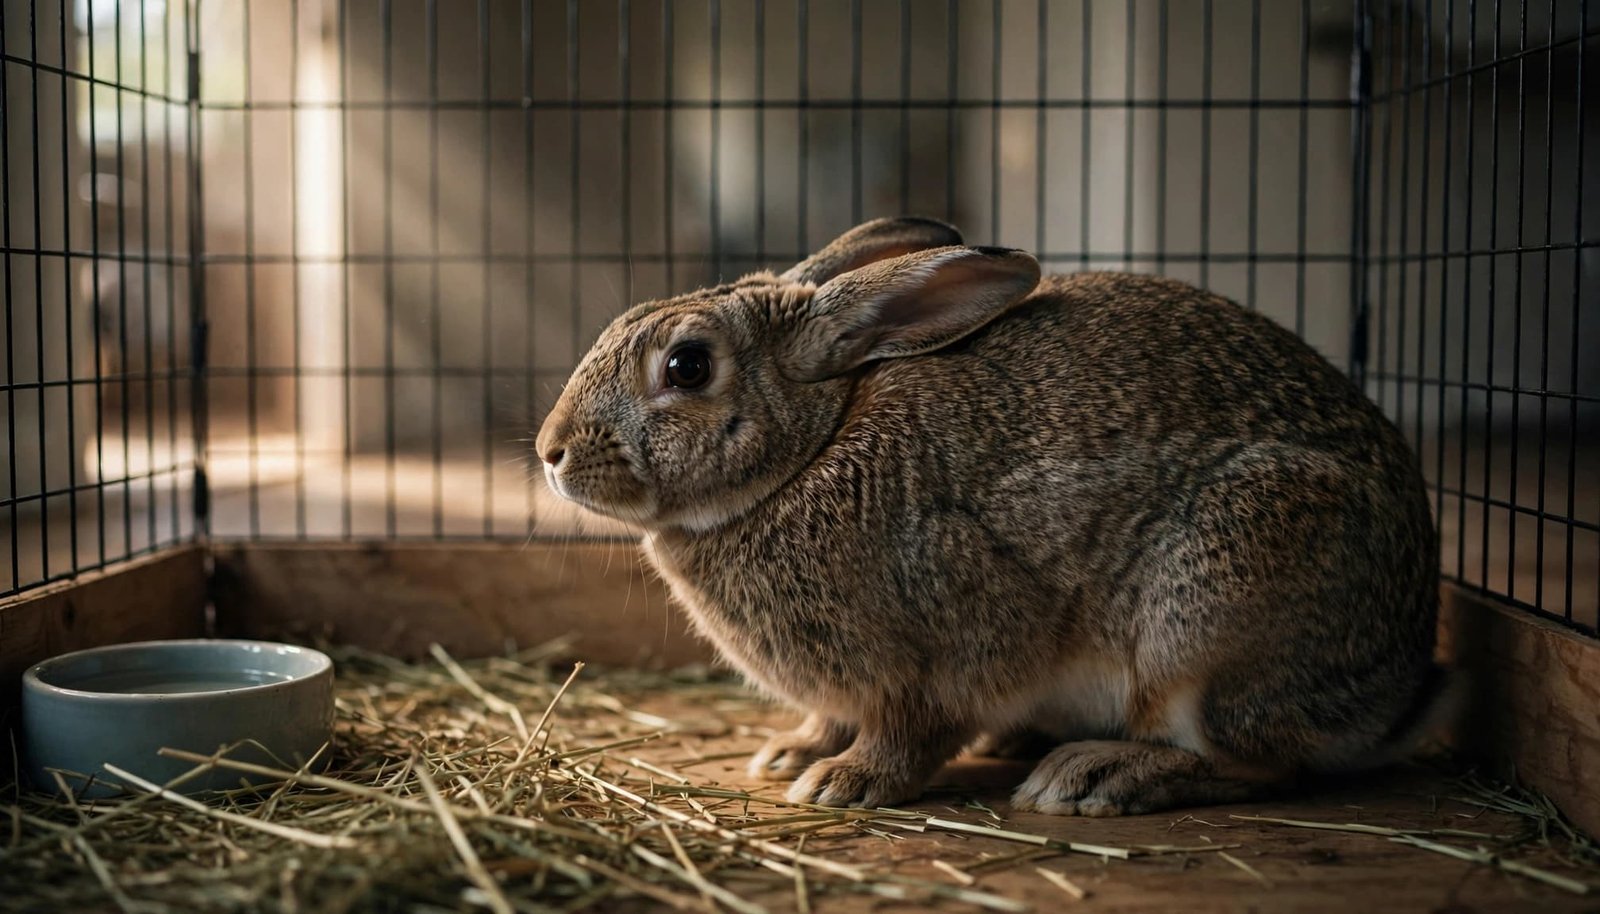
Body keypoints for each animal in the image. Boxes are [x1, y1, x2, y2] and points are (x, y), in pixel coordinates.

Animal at [536, 216, 1454, 815]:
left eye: (687, 367)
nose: (550, 451)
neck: (810, 450)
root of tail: (1399, 687)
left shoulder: (940, 645)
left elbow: (912, 729)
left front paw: (843, 781)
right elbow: (833, 715)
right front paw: (793, 750)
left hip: (1208, 619)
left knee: (1264, 762)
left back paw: (1098, 776)